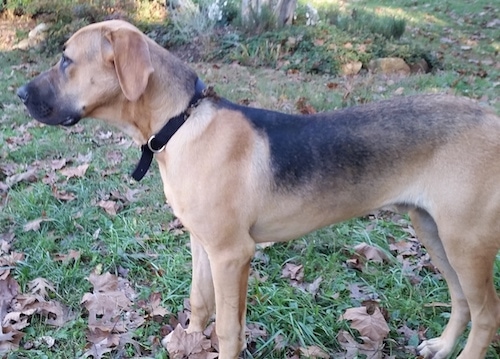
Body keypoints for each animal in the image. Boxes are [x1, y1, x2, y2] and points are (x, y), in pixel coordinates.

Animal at [16, 20, 500, 359]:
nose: (19, 93)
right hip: (433, 231)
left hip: (467, 241)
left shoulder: (232, 254)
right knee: (461, 300)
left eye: (66, 60)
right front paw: (190, 341)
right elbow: (200, 302)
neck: (182, 123)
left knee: (486, 314)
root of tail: (491, 118)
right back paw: (441, 346)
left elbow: (229, 327)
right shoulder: (203, 244)